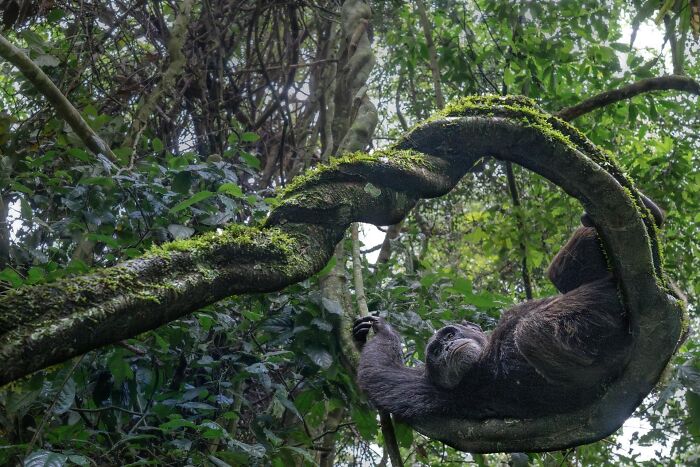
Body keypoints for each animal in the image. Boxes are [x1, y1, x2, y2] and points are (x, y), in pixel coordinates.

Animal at [353, 196, 664, 421]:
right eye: (436, 351)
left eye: (449, 336)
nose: (446, 348)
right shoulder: (430, 390)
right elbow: (381, 378)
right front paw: (383, 331)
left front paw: (369, 331)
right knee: (533, 331)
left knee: (559, 275)